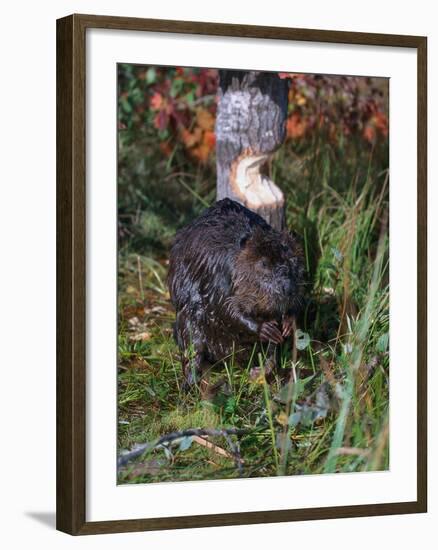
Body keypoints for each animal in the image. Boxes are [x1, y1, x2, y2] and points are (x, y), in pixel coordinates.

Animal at [166, 199, 302, 388]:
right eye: (263, 263)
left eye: (294, 260)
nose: (287, 289)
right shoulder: (218, 274)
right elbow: (224, 308)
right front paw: (265, 328)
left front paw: (288, 323)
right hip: (187, 322)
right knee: (193, 346)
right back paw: (191, 383)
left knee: (271, 352)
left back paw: (258, 372)